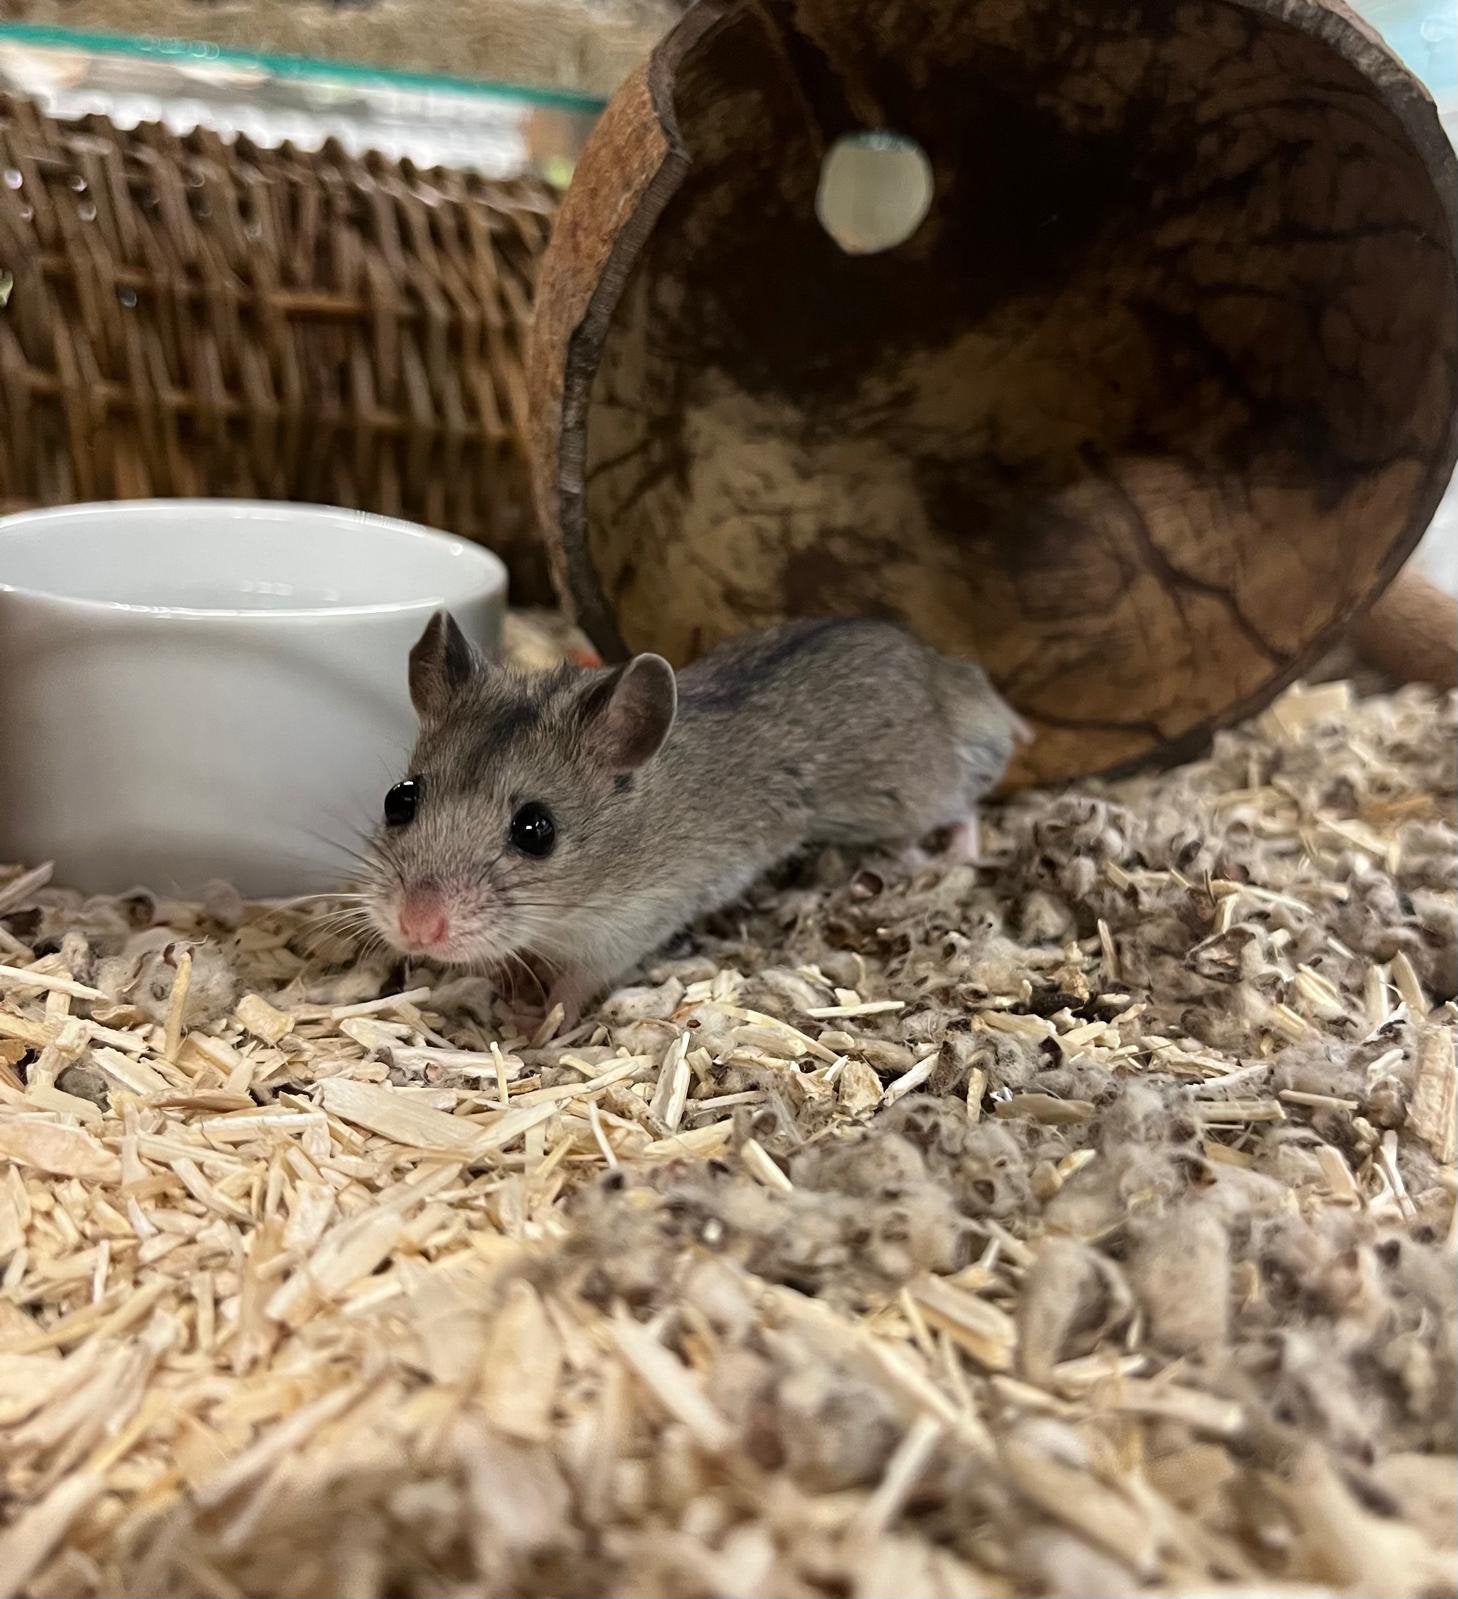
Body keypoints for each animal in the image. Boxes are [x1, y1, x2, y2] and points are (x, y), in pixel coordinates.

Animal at [360, 613, 1025, 1022]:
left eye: (535, 830)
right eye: (399, 799)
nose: (415, 928)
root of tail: (953, 675)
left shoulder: (630, 927)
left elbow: (575, 987)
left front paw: (537, 1026)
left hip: (913, 793)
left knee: (962, 811)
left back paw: (945, 857)